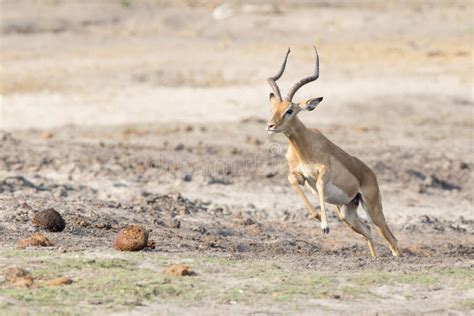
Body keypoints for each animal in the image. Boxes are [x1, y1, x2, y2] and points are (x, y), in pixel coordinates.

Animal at [268, 46, 398, 256]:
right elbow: (291, 179)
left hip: (373, 208)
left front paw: (325, 226)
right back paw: (374, 259)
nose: (270, 126)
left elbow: (320, 185)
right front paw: (315, 215)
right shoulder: (301, 176)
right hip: (347, 213)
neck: (304, 146)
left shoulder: (324, 173)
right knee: (368, 231)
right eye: (273, 108)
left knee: (392, 239)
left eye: (289, 110)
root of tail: (371, 174)